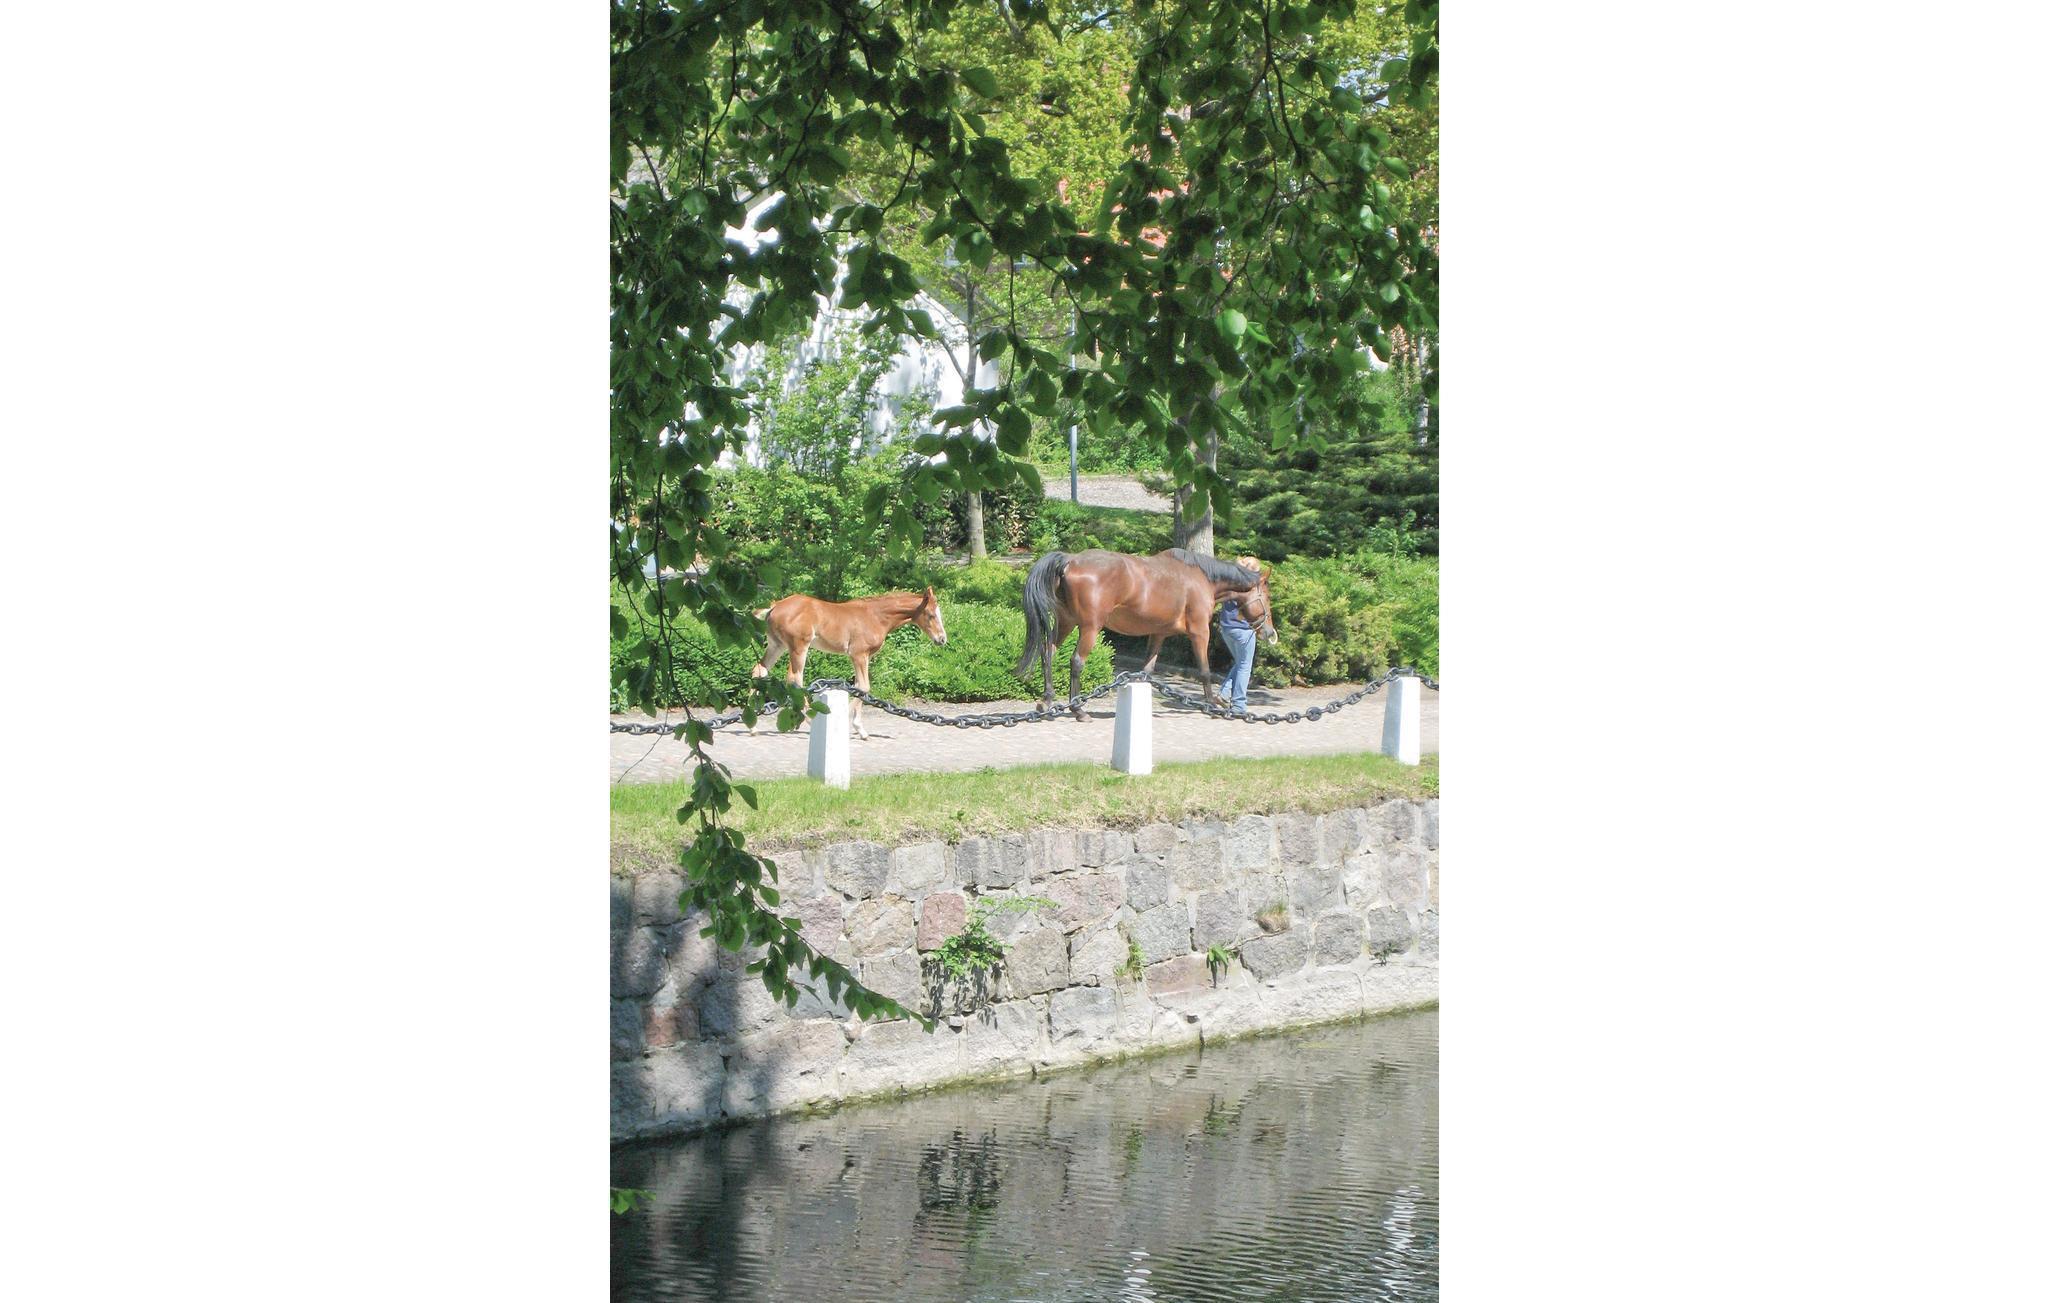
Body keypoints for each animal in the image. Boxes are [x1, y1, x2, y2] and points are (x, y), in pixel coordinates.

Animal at [750, 588, 947, 739]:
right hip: (798, 647)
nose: (942, 639)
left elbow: (860, 686)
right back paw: (810, 720)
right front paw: (851, 725)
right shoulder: (859, 654)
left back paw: (752, 725)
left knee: (759, 670)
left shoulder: (863, 657)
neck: (876, 616)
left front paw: (861, 730)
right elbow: (864, 687)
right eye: (931, 615)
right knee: (794, 678)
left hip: (777, 645)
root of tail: (774, 606)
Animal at [1014, 549, 1277, 717]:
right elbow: (1204, 671)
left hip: (1066, 623)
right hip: (1089, 628)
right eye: (1267, 596)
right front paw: (1212, 704)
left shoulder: (1158, 634)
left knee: (1047, 652)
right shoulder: (1199, 631)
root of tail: (1070, 560)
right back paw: (1078, 709)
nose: (1269, 632)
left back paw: (1047, 701)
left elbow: (1147, 671)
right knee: (1076, 661)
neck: (1202, 578)